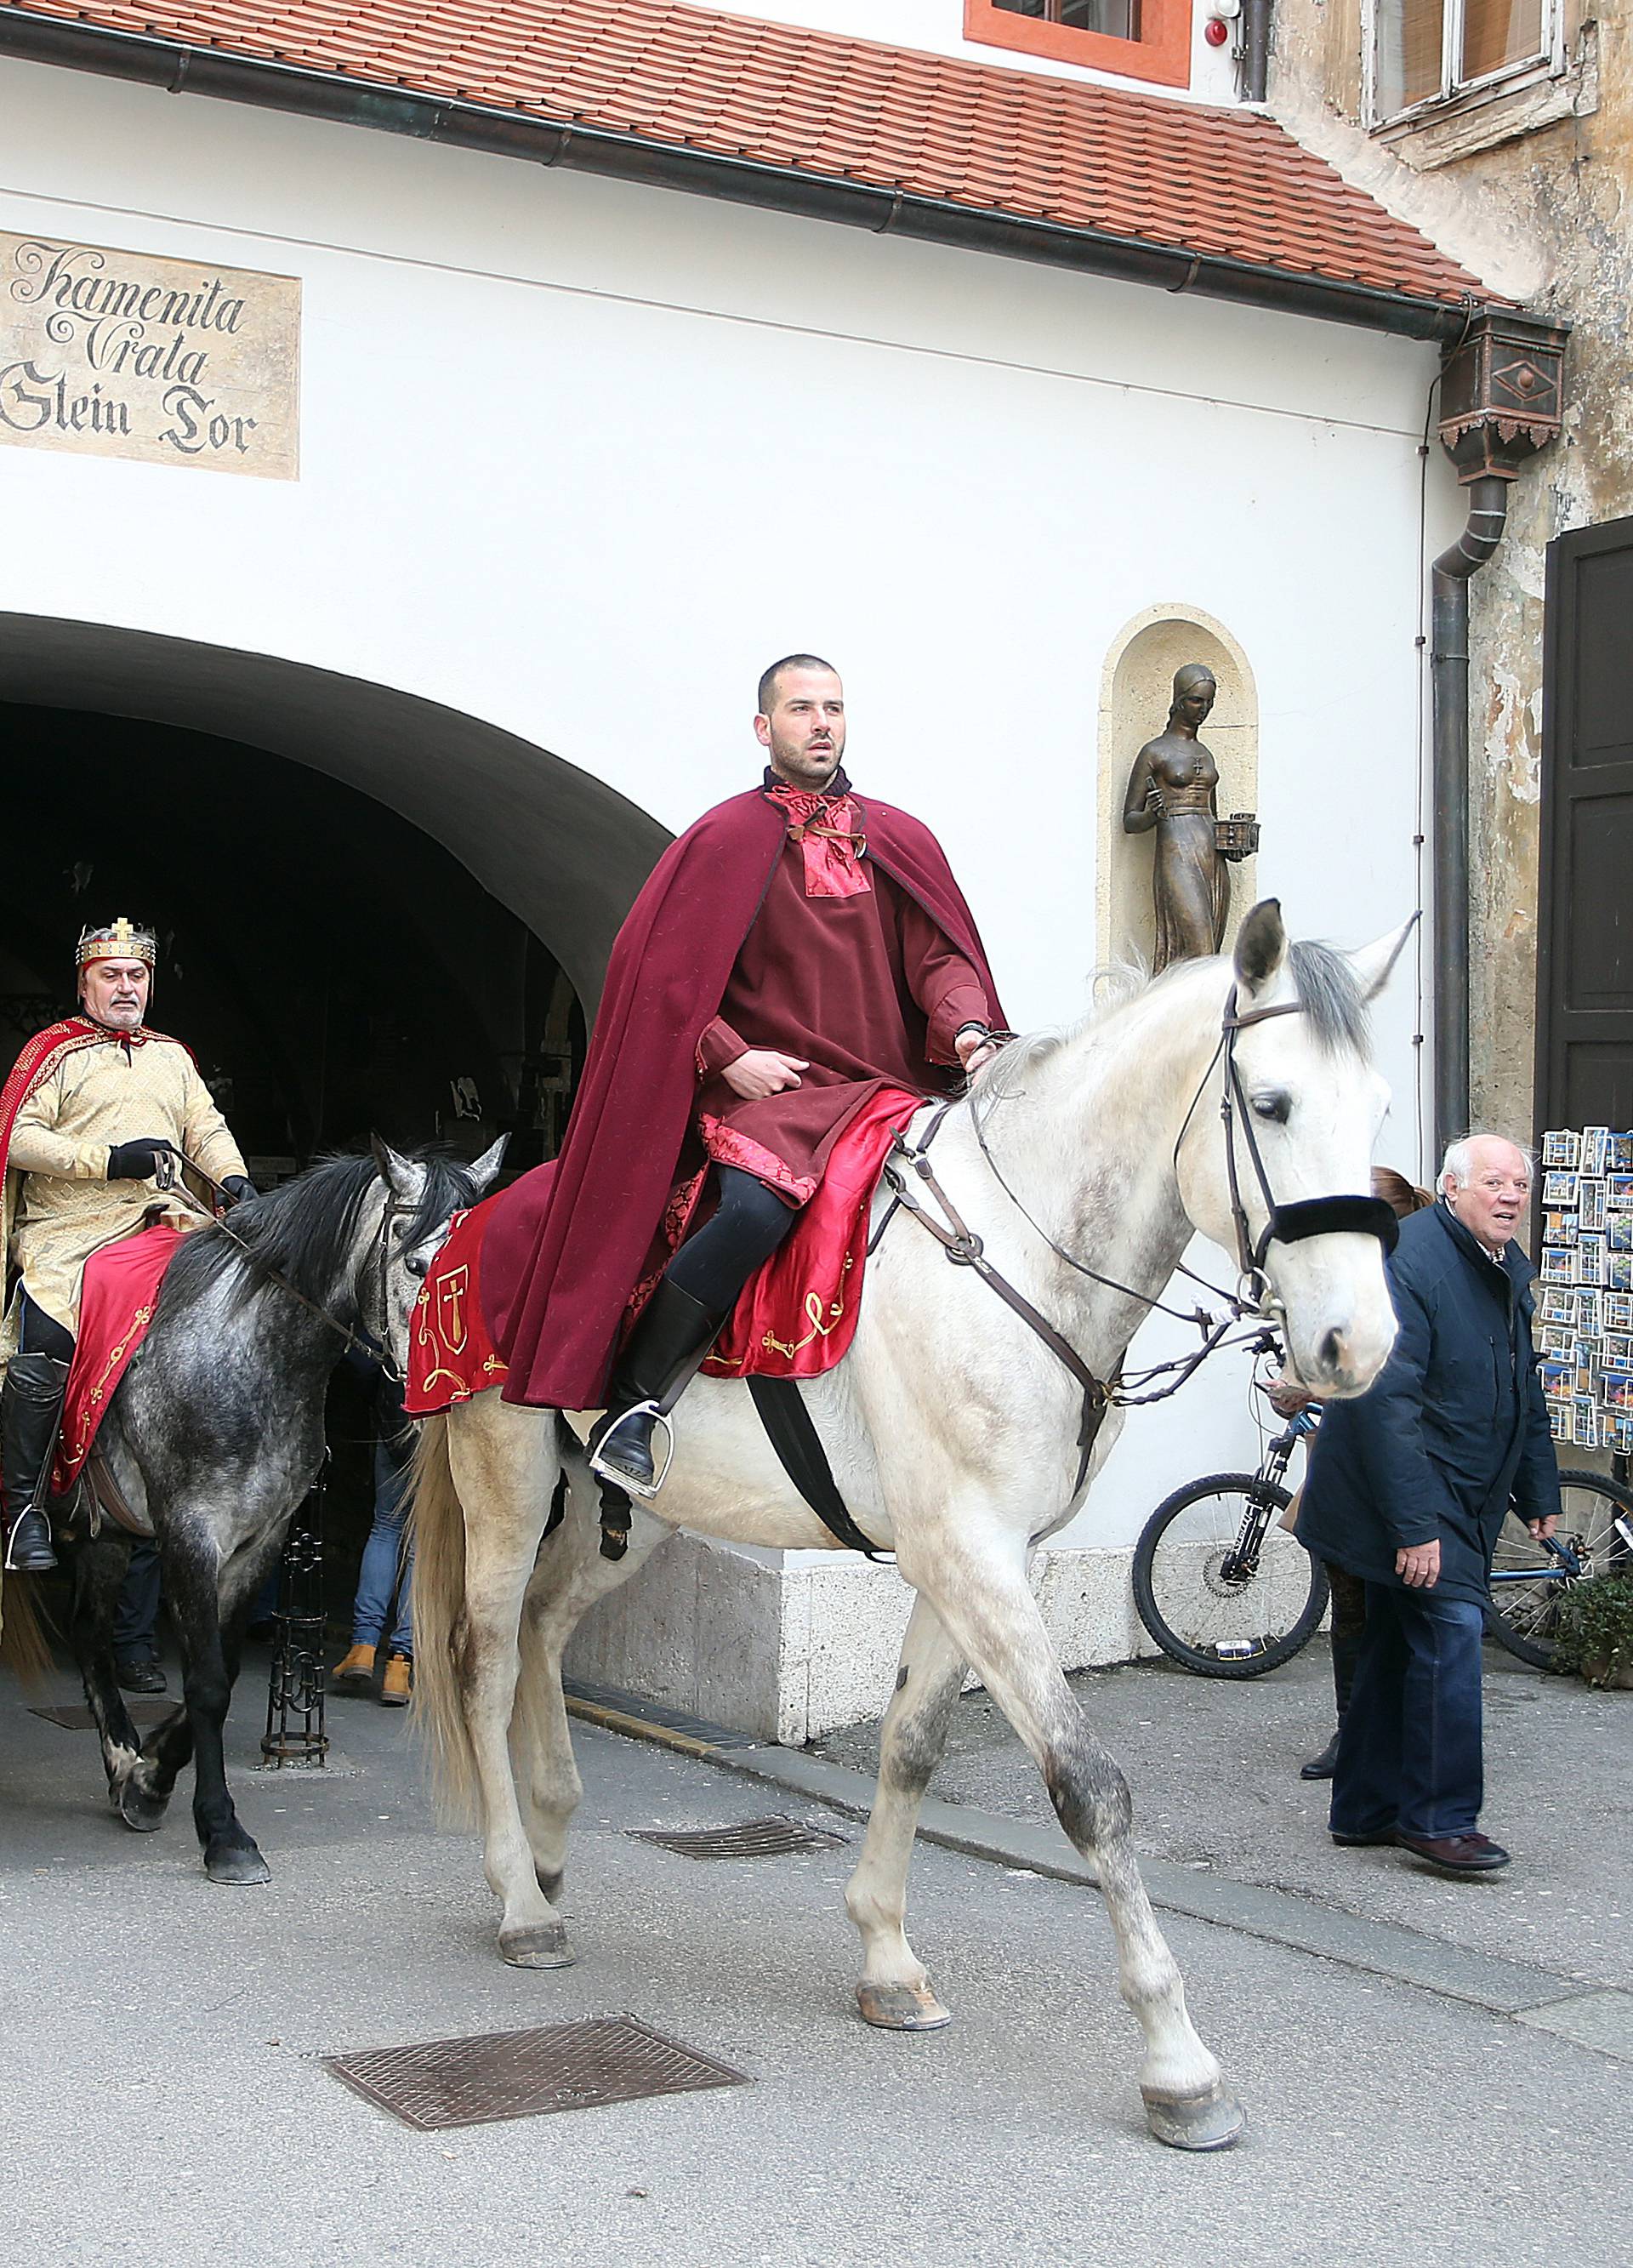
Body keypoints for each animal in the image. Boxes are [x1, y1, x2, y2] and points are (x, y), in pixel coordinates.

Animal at [406, 898, 1406, 2140]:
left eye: (1381, 1107)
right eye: (1271, 1104)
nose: (1355, 1345)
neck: (1024, 1250)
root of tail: (463, 1229)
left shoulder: (973, 1555)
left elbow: (913, 1743)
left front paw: (885, 1955)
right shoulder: (974, 1555)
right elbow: (1089, 1784)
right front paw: (1178, 2060)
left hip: (631, 1508)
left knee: (547, 1626)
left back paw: (547, 1845)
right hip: (501, 1477)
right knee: (487, 1657)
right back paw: (517, 1899)